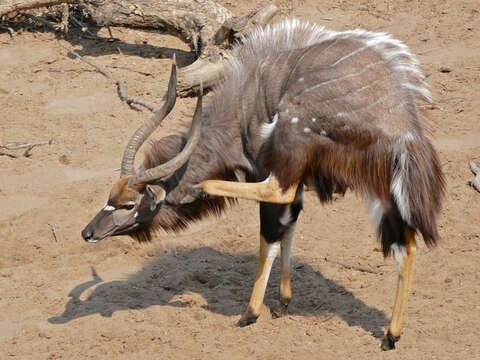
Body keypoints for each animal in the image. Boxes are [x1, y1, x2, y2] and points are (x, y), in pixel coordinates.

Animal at [83, 20, 446, 352]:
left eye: (129, 204)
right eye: (109, 195)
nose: (88, 232)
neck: (240, 109)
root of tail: (403, 121)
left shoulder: (275, 168)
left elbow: (270, 234)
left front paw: (251, 312)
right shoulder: (300, 184)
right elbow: (289, 227)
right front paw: (283, 302)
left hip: (298, 130)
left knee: (274, 196)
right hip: (384, 187)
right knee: (407, 245)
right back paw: (391, 334)